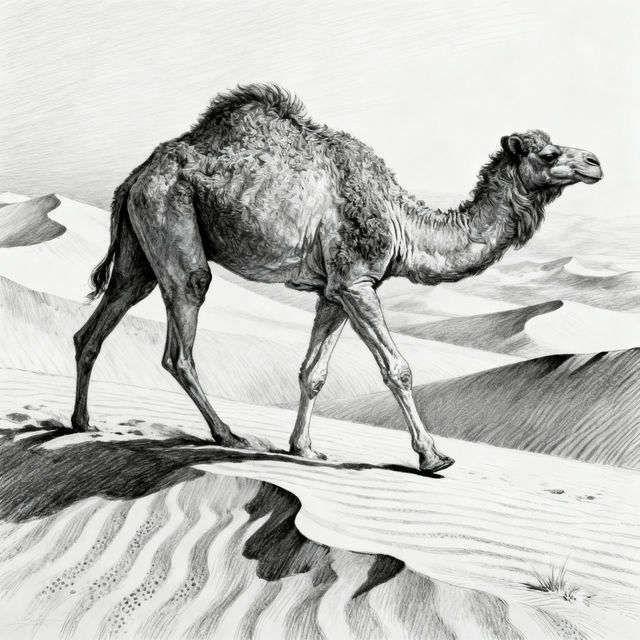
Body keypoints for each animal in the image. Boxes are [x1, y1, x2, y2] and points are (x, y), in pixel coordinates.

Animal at [71, 84, 602, 473]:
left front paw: (303, 449)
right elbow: (397, 368)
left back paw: (81, 422)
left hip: (139, 248)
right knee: (182, 334)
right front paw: (432, 456)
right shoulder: (356, 281)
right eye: (549, 154)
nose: (596, 161)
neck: (401, 222)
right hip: (171, 219)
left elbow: (313, 373)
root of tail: (136, 175)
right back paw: (229, 434)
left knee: (98, 322)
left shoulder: (334, 291)